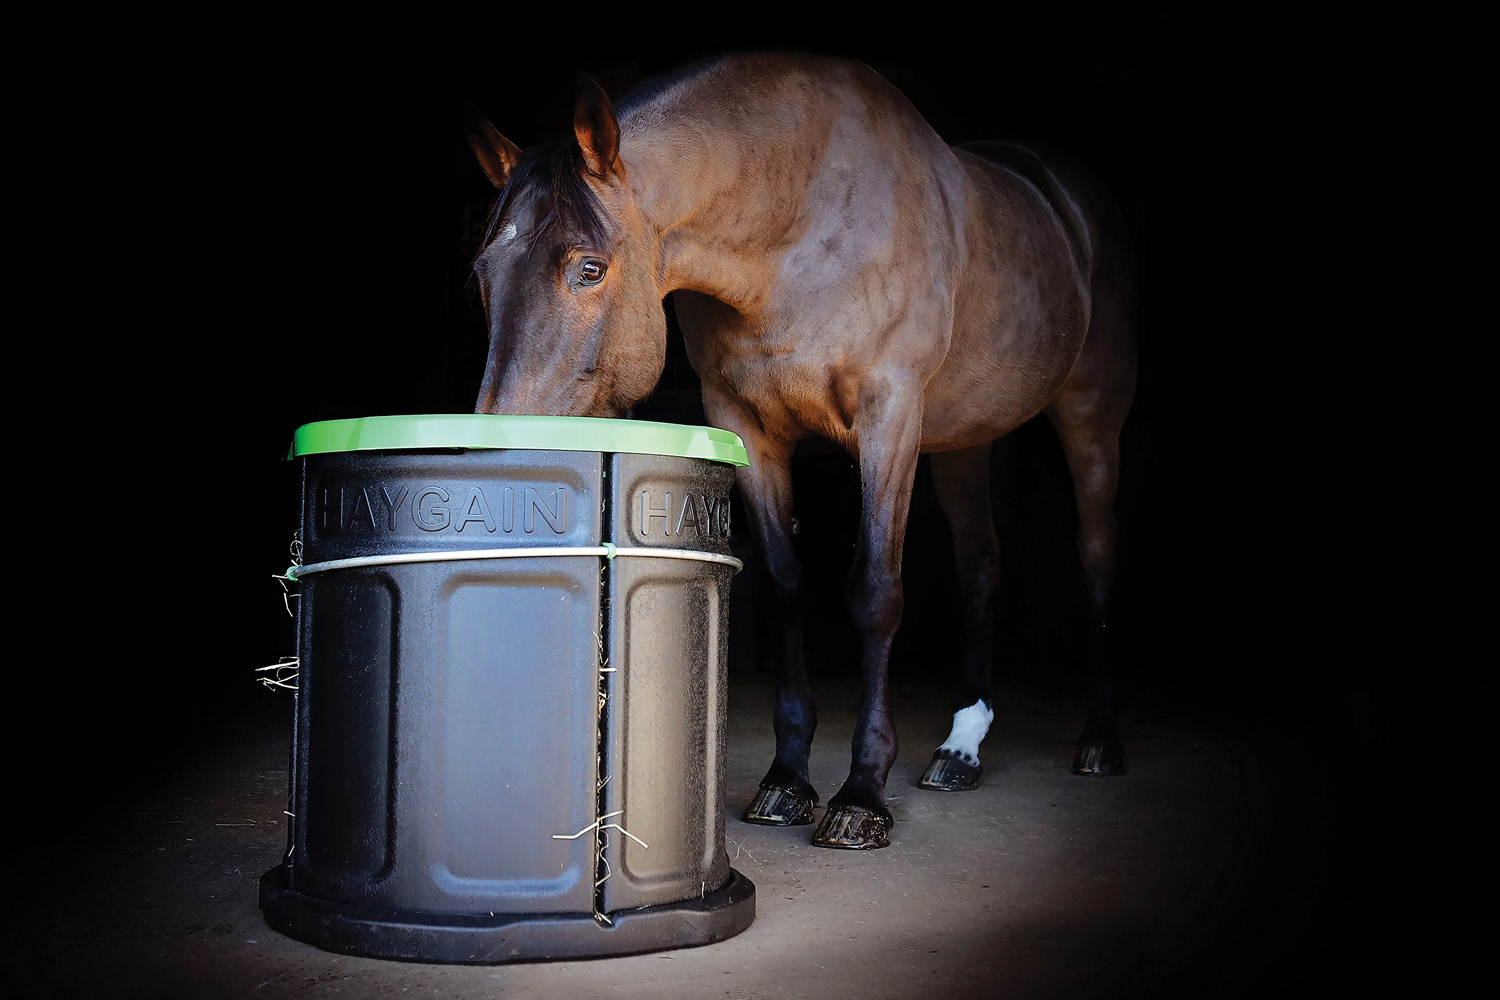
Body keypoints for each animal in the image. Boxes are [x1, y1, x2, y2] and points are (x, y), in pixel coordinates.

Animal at [464, 51, 1137, 850]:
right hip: (964, 441)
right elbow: (786, 584)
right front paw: (787, 780)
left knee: (1097, 556)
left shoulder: (888, 421)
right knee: (980, 563)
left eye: (589, 268)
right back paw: (960, 748)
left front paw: (861, 794)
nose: (499, 444)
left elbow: (874, 593)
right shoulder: (747, 426)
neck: (801, 226)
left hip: (1088, 420)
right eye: (483, 273)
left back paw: (1099, 740)